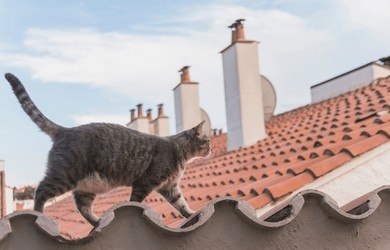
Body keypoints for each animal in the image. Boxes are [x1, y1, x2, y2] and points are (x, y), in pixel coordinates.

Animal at [4, 72, 212, 225]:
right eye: (208, 141)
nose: (210, 149)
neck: (180, 151)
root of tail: (65, 130)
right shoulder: (145, 183)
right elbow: (135, 201)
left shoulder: (170, 187)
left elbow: (182, 204)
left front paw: (192, 214)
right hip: (64, 175)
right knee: (40, 191)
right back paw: (39, 215)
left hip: (86, 186)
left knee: (83, 207)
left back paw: (97, 222)